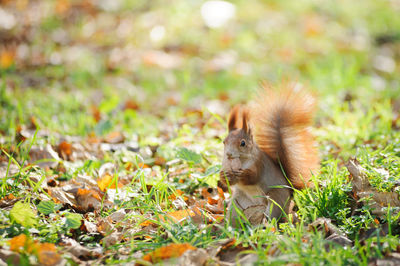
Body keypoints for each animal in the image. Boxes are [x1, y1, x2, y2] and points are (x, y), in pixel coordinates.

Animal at [219, 83, 318, 227]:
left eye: (243, 143)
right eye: (224, 141)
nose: (229, 154)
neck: (241, 161)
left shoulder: (259, 164)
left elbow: (253, 177)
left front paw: (243, 174)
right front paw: (224, 175)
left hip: (275, 199)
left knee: (273, 217)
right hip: (236, 205)